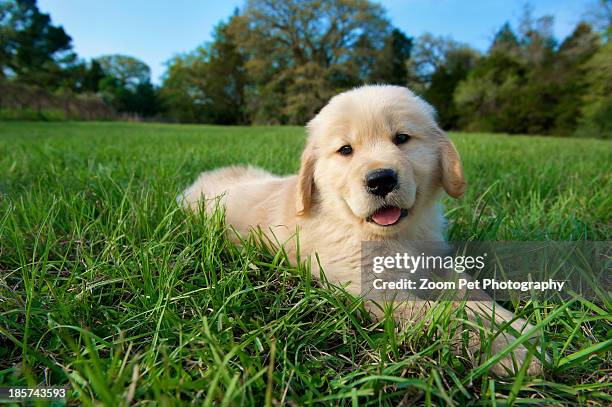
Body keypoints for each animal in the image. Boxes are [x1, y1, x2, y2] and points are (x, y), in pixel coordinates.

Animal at [179, 84, 544, 378]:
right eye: (345, 150)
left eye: (402, 139)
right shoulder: (375, 293)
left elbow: (472, 292)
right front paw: (508, 348)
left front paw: (517, 327)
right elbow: (446, 314)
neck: (393, 237)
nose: (381, 179)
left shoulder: (435, 263)